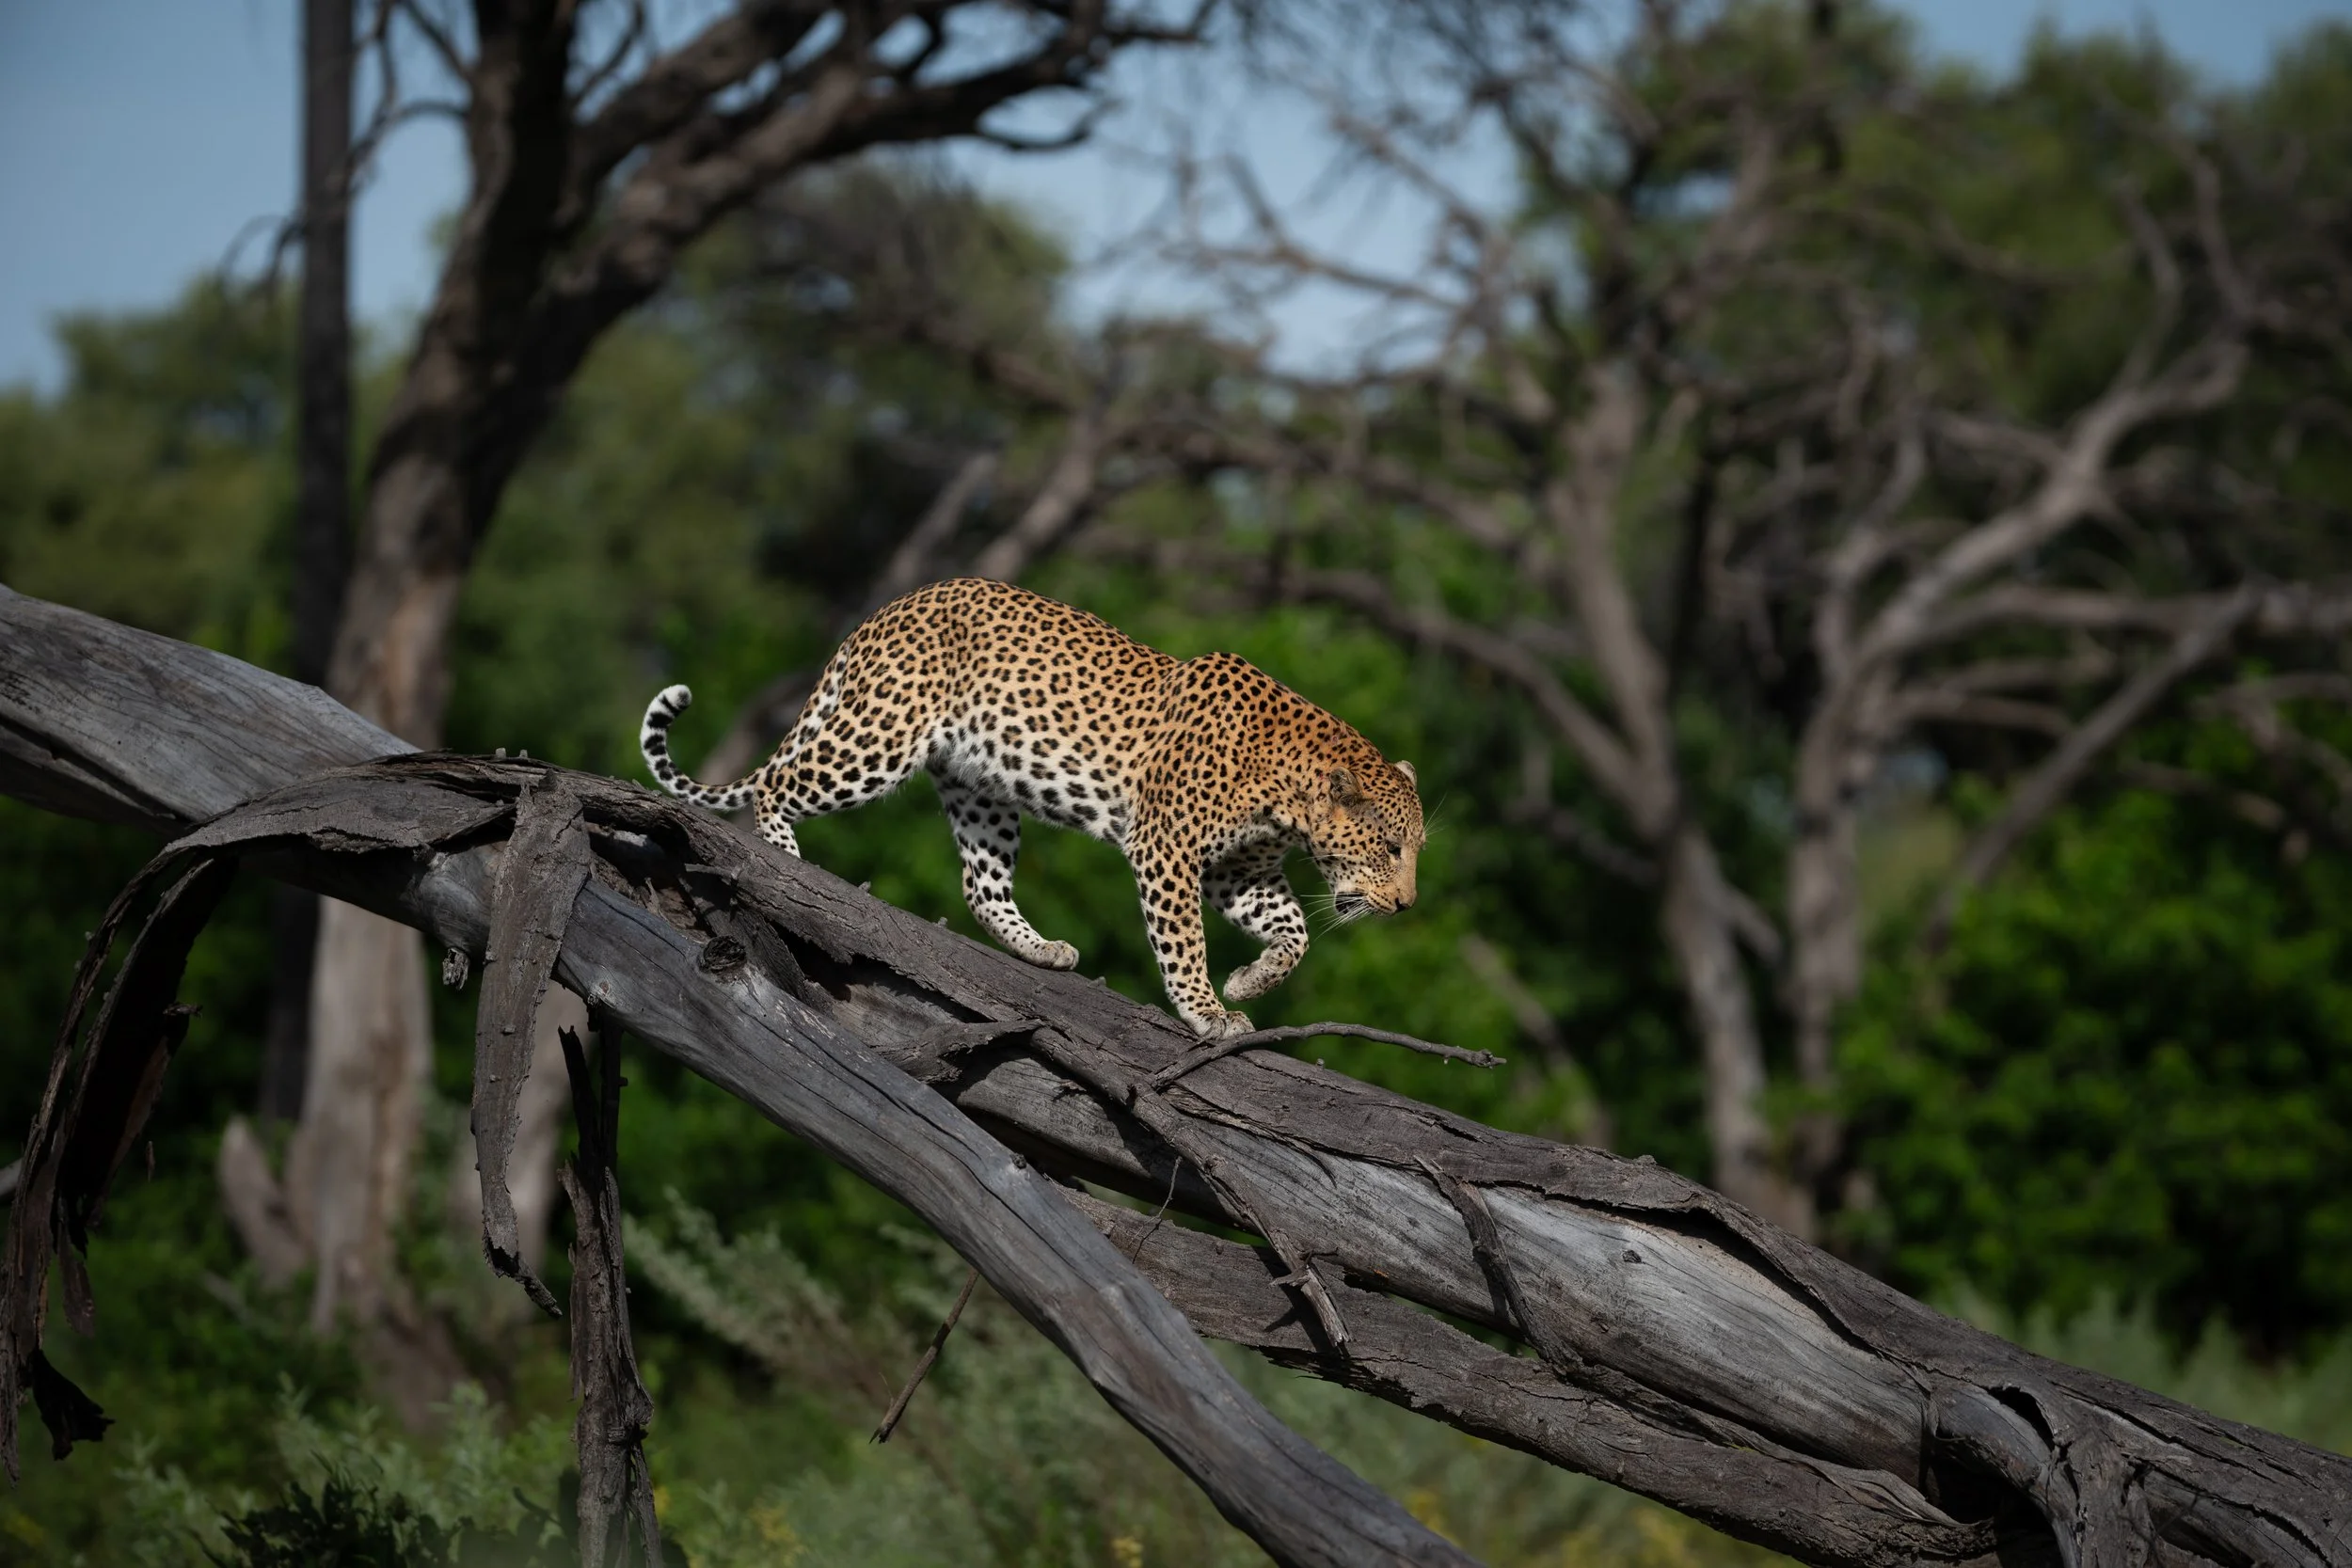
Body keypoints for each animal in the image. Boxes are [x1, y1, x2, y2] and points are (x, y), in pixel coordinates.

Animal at [638, 577, 1425, 1039]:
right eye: (1391, 847)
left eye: (1415, 849)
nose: (1408, 904)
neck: (1288, 795)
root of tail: (889, 607)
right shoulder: (1166, 849)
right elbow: (1184, 941)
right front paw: (1205, 1007)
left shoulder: (1242, 872)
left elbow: (1294, 932)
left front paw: (1245, 982)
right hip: (879, 738)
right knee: (780, 782)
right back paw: (784, 856)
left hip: (981, 787)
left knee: (979, 883)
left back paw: (1042, 949)